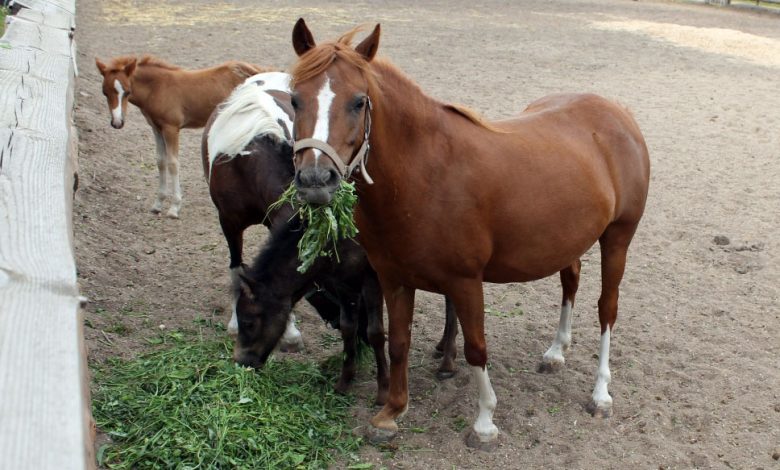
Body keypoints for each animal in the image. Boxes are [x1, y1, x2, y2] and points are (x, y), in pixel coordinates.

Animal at [93, 55, 266, 218]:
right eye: (104, 92)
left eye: (127, 91)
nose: (117, 122)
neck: (156, 88)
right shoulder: (156, 128)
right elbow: (161, 161)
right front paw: (158, 204)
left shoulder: (171, 128)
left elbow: (173, 163)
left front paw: (174, 207)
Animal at [290, 21, 648, 448]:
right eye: (294, 100)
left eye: (359, 102)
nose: (315, 180)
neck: (425, 173)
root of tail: (618, 114)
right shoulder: (393, 280)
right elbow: (398, 342)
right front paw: (392, 412)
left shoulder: (465, 281)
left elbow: (476, 349)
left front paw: (484, 423)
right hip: (568, 241)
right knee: (571, 282)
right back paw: (556, 352)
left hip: (618, 238)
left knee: (607, 310)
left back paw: (600, 393)